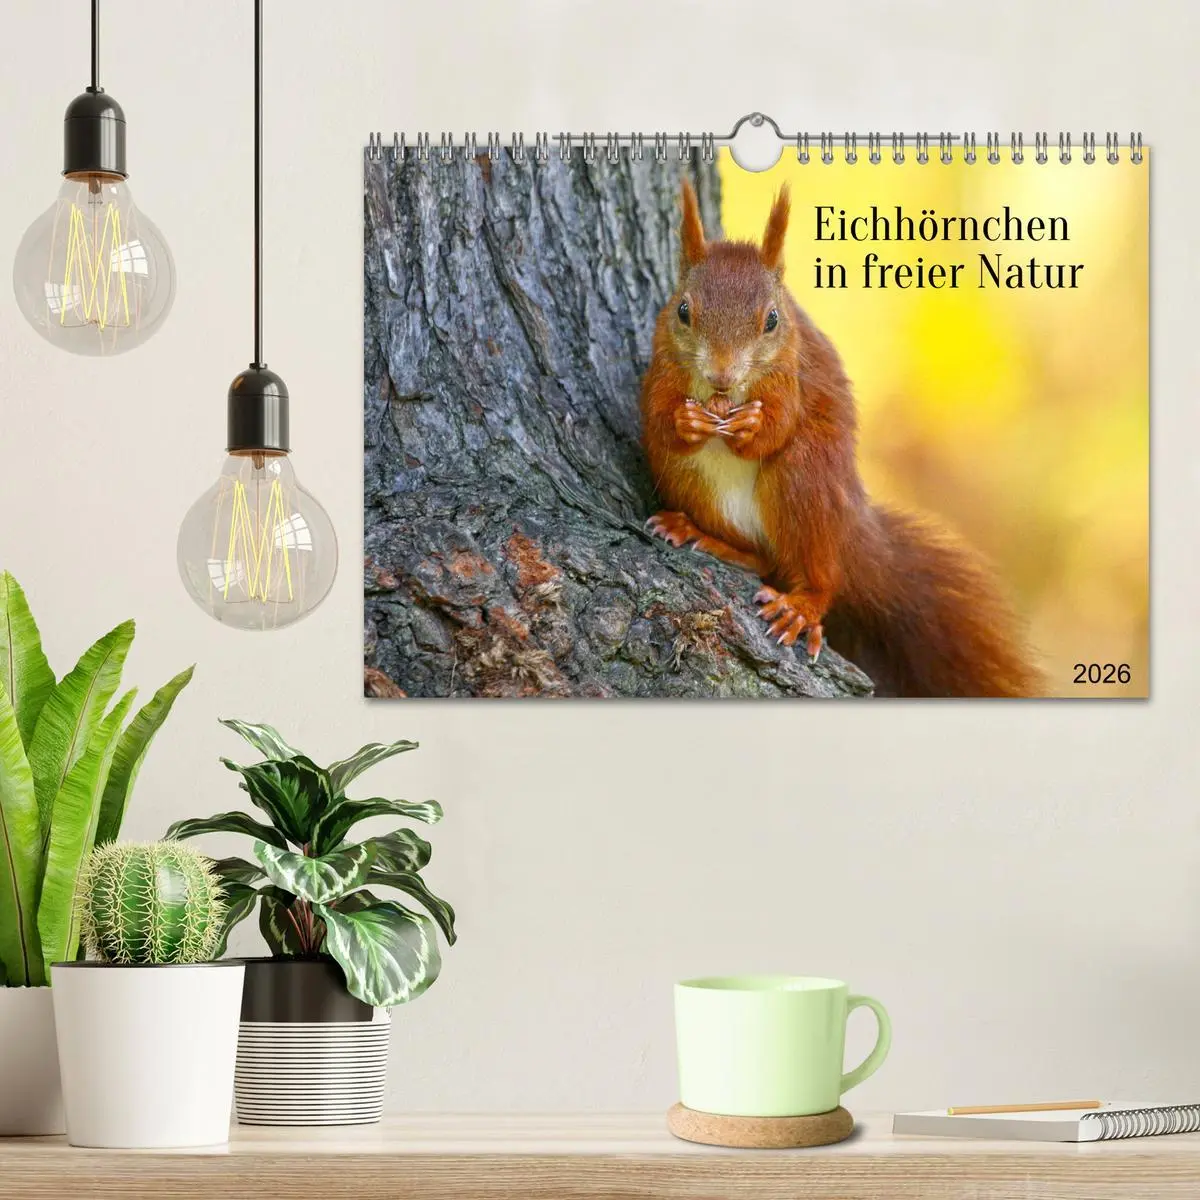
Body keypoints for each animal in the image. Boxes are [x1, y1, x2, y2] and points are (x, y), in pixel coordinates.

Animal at [640, 180, 1043, 698]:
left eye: (773, 320)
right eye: (684, 311)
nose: (722, 376)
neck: (723, 397)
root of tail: (848, 531)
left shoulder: (790, 374)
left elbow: (778, 426)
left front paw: (751, 428)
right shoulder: (662, 365)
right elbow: (656, 415)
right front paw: (686, 422)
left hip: (805, 482)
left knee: (819, 575)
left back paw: (801, 607)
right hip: (687, 480)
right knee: (761, 558)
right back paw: (699, 533)